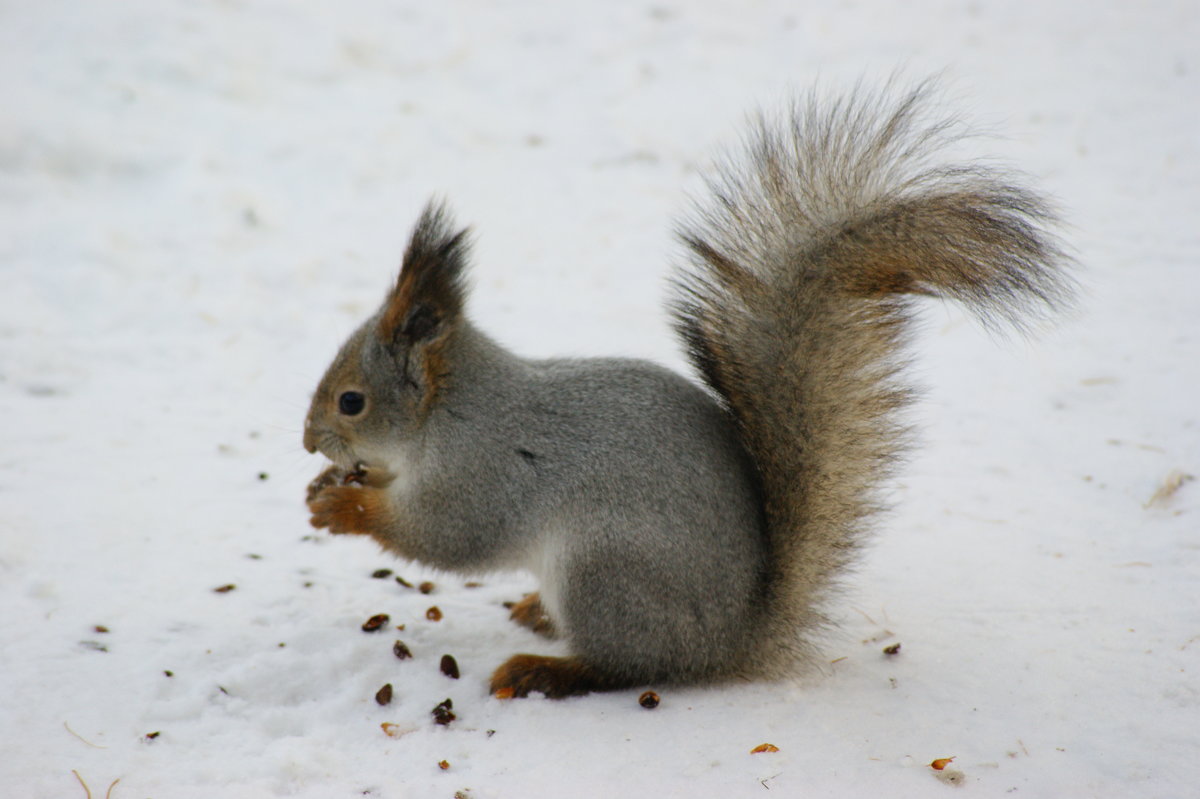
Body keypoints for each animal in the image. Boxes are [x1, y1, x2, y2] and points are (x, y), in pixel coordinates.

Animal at [304, 82, 1075, 695]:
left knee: (634, 668)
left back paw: (548, 669)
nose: (309, 441)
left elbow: (446, 537)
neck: (448, 412)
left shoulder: (484, 470)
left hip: (605, 571)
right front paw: (330, 487)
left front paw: (347, 506)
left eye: (352, 401)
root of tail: (733, 642)